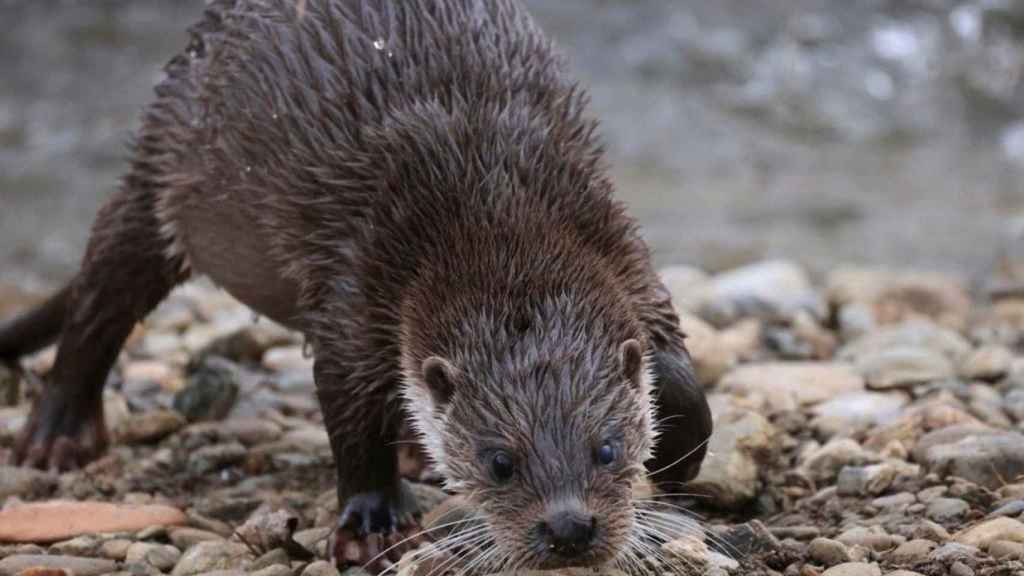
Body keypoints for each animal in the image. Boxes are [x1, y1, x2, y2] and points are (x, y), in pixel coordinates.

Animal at [0, 0, 712, 569]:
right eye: (499, 462)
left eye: (608, 449)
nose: (570, 529)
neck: (496, 202)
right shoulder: (359, 281)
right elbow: (348, 403)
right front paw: (373, 521)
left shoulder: (617, 240)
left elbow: (677, 373)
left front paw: (679, 472)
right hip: (162, 175)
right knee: (102, 294)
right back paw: (56, 436)